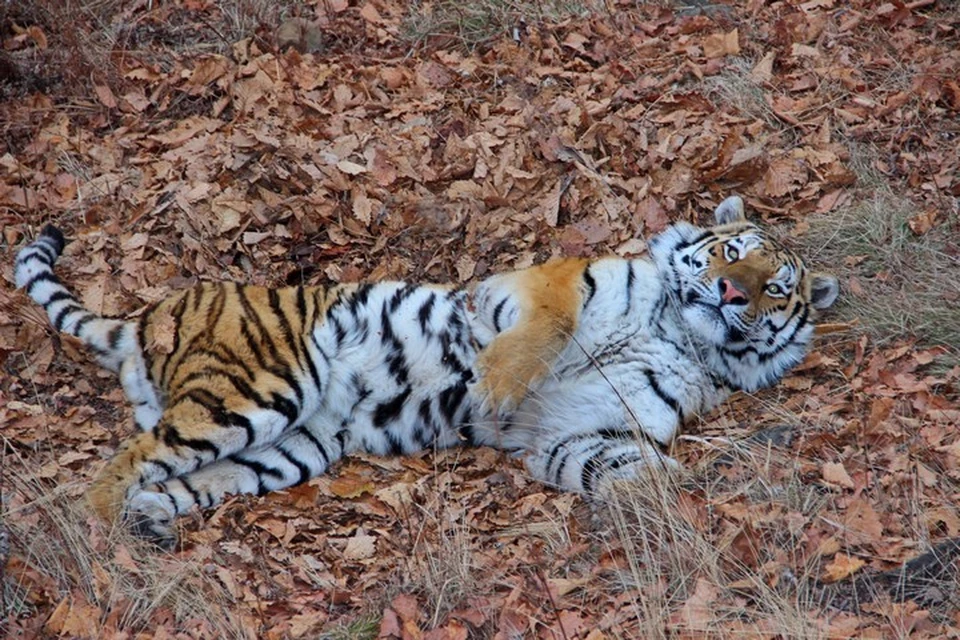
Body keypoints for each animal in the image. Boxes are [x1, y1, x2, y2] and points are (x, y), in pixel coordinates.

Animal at [16, 198, 840, 548]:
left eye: (775, 286)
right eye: (734, 254)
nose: (731, 293)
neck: (680, 333)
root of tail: (142, 317)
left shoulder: (576, 429)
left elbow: (628, 468)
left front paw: (672, 509)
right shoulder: (546, 282)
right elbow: (547, 329)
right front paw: (494, 381)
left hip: (289, 447)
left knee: (179, 473)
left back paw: (149, 520)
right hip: (261, 387)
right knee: (127, 458)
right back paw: (101, 534)